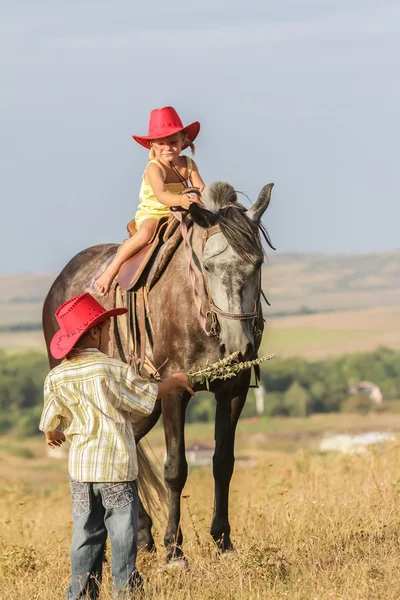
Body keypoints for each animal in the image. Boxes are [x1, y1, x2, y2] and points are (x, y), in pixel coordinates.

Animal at [42, 180, 274, 564]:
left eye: (257, 263)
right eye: (208, 266)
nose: (238, 345)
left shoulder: (233, 390)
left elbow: (223, 463)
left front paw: (223, 541)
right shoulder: (173, 391)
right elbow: (175, 469)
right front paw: (174, 551)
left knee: (126, 448)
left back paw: (141, 535)